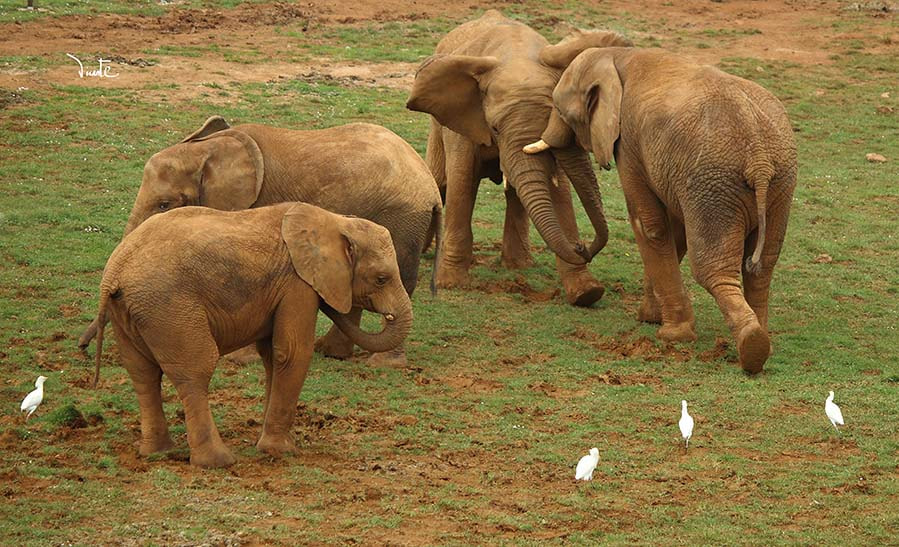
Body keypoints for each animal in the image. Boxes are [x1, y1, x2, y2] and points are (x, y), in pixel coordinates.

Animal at [79, 117, 441, 367]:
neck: (209, 150)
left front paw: (240, 360)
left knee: (402, 279)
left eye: (165, 205)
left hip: (402, 218)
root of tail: (431, 186)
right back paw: (330, 353)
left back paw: (382, 364)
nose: (81, 349)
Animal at [92, 202, 413, 468]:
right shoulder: (298, 284)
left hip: (131, 314)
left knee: (142, 374)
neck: (335, 221)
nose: (389, 315)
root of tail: (114, 275)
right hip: (169, 307)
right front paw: (281, 451)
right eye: (381, 279)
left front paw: (270, 443)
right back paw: (217, 462)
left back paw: (157, 453)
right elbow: (292, 352)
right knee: (195, 371)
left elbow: (272, 356)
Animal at [405, 10, 633, 306]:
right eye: (495, 128)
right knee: (439, 182)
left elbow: (558, 191)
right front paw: (451, 283)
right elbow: (462, 179)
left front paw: (587, 293)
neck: (515, 52)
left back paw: (518, 265)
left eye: (555, 114)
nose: (582, 247)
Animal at [526, 45, 797, 373]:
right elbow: (674, 232)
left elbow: (649, 225)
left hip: (715, 183)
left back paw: (751, 347)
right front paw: (651, 317)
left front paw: (671, 335)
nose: (581, 248)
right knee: (762, 265)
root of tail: (759, 158)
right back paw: (762, 341)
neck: (617, 55)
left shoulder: (629, 146)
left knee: (712, 268)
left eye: (562, 111)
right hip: (779, 183)